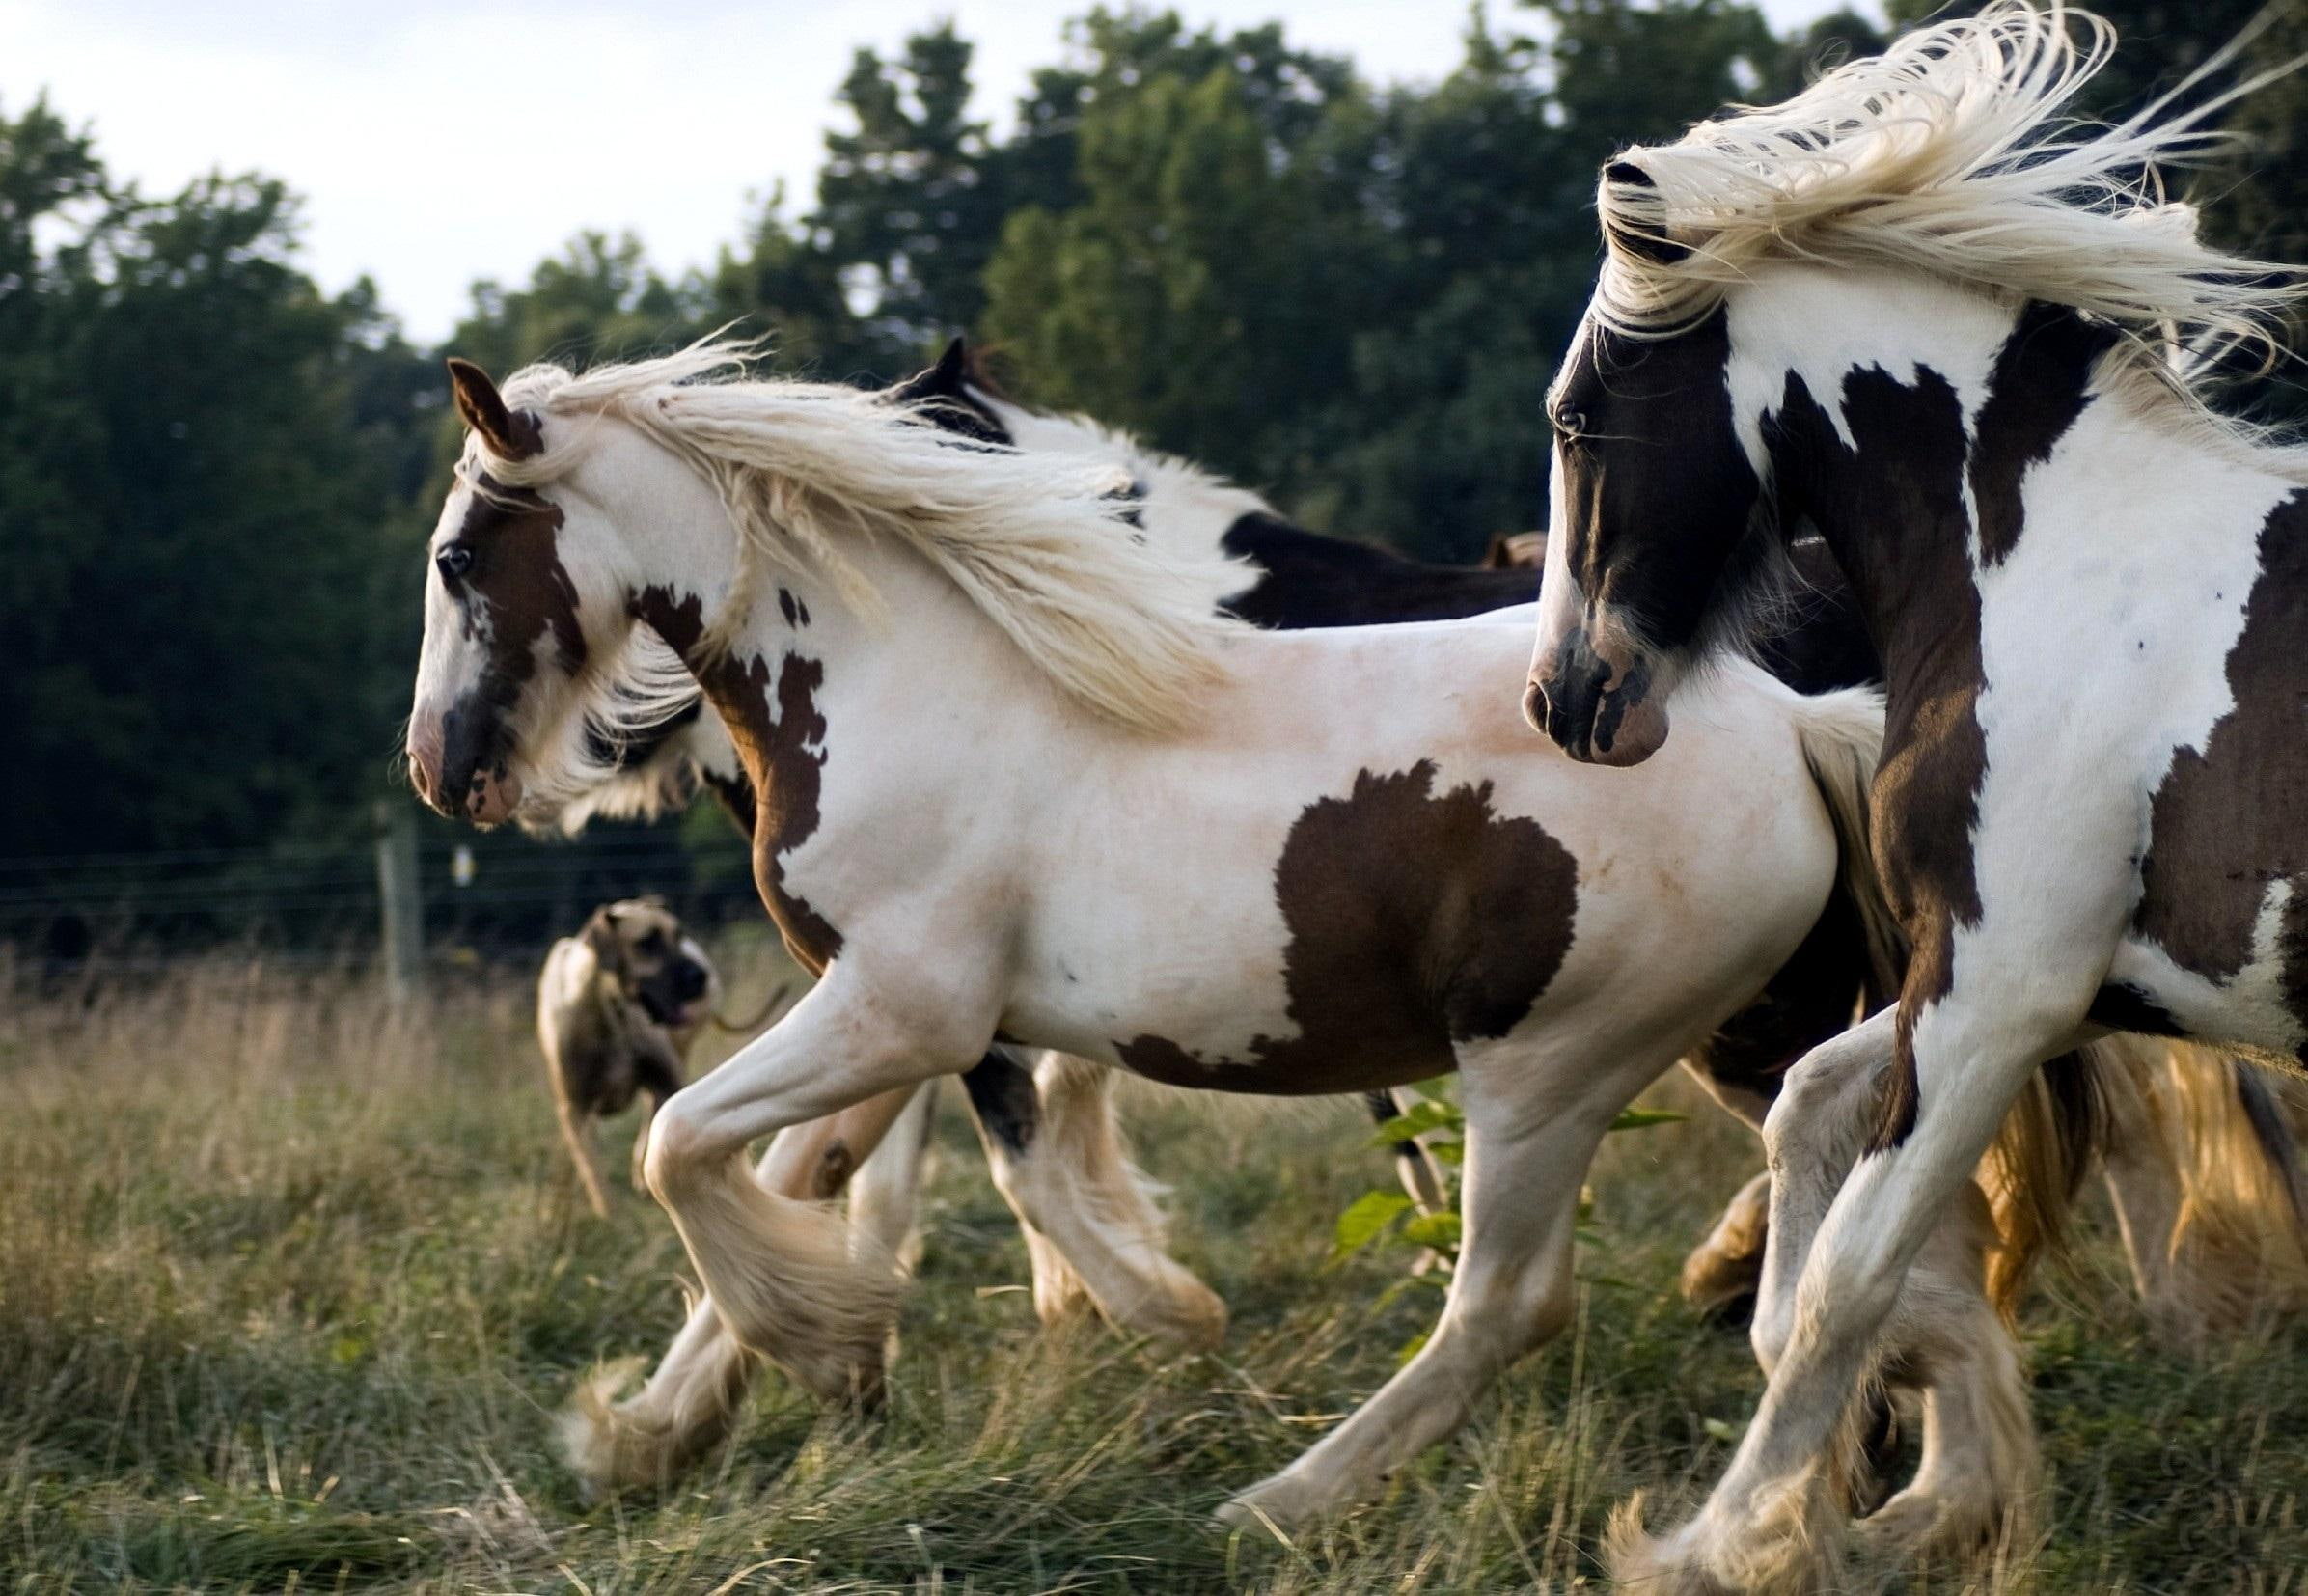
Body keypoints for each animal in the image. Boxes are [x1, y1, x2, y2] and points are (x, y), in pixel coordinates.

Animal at [404, 338, 1900, 1527]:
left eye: (457, 556)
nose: (440, 766)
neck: (912, 682)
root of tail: (1793, 722)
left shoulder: (907, 1011)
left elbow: (685, 1145)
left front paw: (872, 1349)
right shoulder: (899, 1019)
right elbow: (796, 1169)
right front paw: (658, 1431)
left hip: (1553, 1070)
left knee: (1511, 1305)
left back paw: (1279, 1503)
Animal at [1520, 4, 2308, 1584]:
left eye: (1575, 416)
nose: (1565, 698)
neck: (2055, 570)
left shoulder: (2000, 991)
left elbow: (1849, 1274)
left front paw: (1721, 1541)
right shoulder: (2067, 980)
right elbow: (1804, 1121)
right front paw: (1910, 1469)